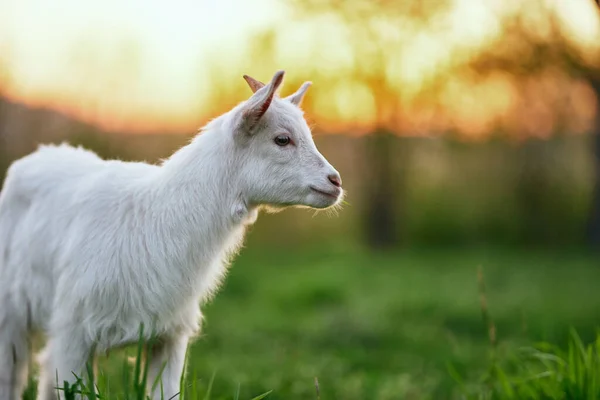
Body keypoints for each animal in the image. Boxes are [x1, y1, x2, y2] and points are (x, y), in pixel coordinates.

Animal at [0, 71, 342, 400]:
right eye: (282, 139)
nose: (335, 181)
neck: (159, 219)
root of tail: (41, 154)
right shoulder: (74, 333)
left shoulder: (168, 336)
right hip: (11, 314)